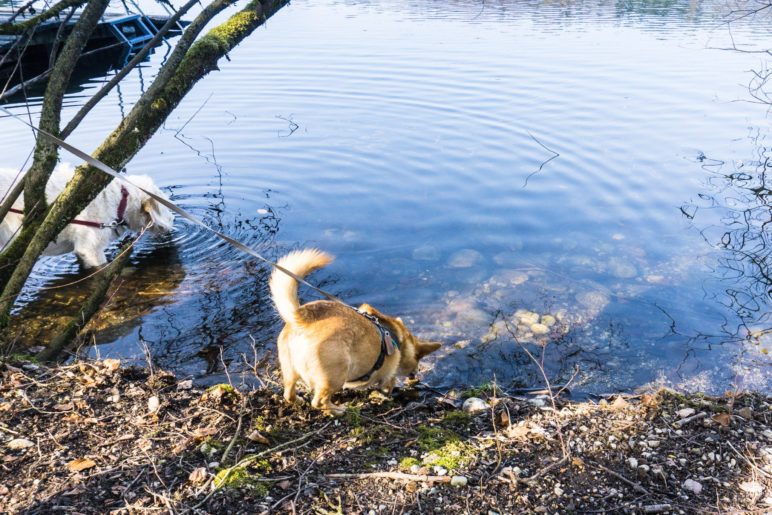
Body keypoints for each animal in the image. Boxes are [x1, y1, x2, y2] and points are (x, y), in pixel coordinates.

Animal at [270, 249, 440, 416]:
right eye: (417, 360)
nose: (415, 375)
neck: (397, 339)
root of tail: (300, 319)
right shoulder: (388, 375)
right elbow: (388, 385)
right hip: (336, 375)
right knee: (318, 402)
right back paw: (337, 410)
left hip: (289, 372)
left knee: (288, 394)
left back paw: (299, 401)